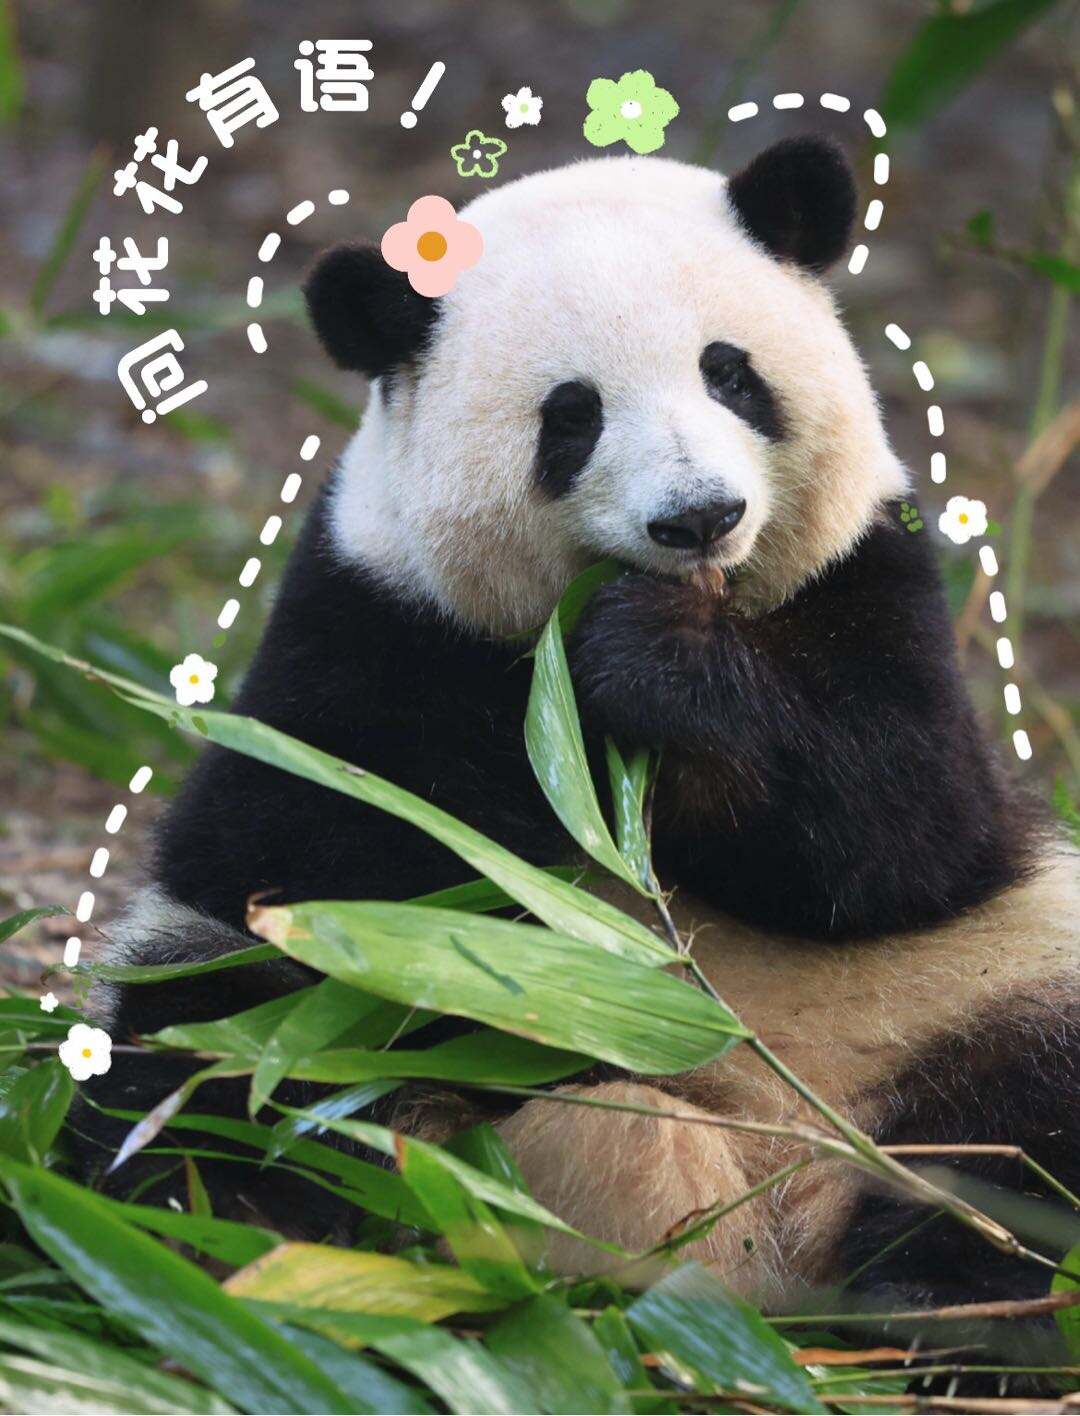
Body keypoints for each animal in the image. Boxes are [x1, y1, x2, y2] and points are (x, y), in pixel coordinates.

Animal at [77, 136, 1080, 1361]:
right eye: (573, 417)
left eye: (730, 374)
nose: (697, 518)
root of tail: (756, 1226)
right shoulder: (373, 626)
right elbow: (306, 851)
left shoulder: (867, 581)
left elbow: (909, 831)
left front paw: (657, 666)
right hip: (341, 1044)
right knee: (223, 1057)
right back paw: (232, 1233)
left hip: (975, 988)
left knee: (1027, 1128)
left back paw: (956, 1300)